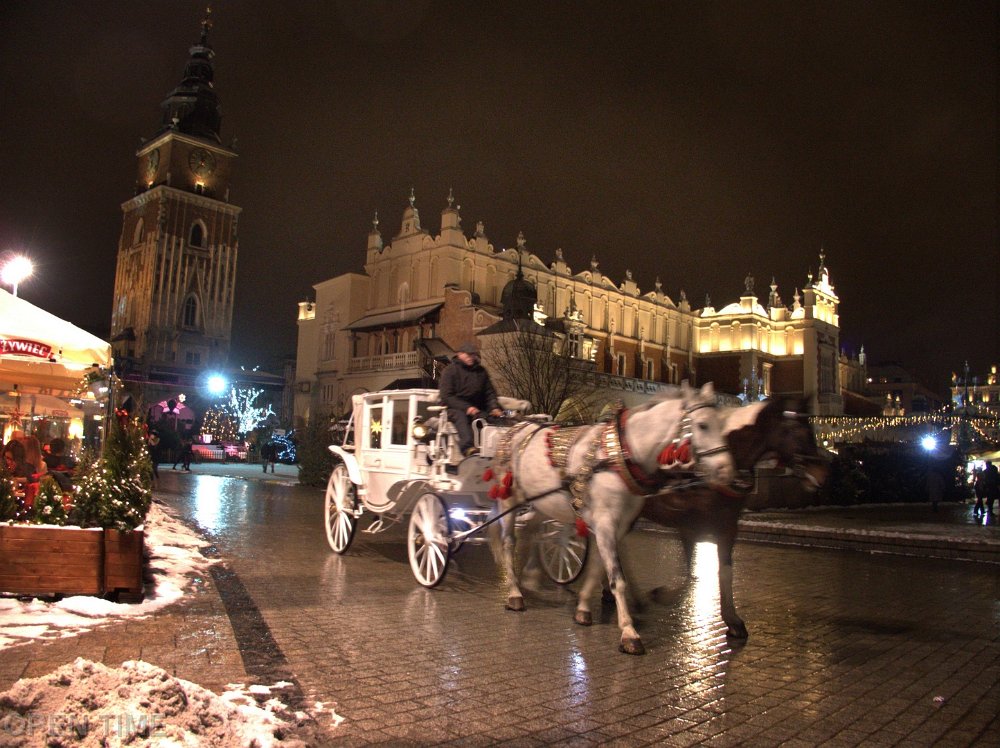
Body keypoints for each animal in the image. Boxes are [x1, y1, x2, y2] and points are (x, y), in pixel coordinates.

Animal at [488, 382, 735, 655]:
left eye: (723, 425)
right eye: (702, 425)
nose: (726, 470)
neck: (621, 454)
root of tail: (517, 427)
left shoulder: (615, 525)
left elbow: (598, 567)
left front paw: (584, 608)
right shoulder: (606, 523)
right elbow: (617, 577)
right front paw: (629, 632)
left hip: (543, 501)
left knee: (533, 532)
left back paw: (530, 577)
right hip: (508, 498)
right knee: (509, 542)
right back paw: (514, 593)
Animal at [621, 398, 828, 639]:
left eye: (811, 430)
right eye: (797, 431)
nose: (823, 474)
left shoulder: (728, 527)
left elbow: (723, 571)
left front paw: (732, 619)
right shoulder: (688, 527)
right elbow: (689, 577)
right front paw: (662, 595)